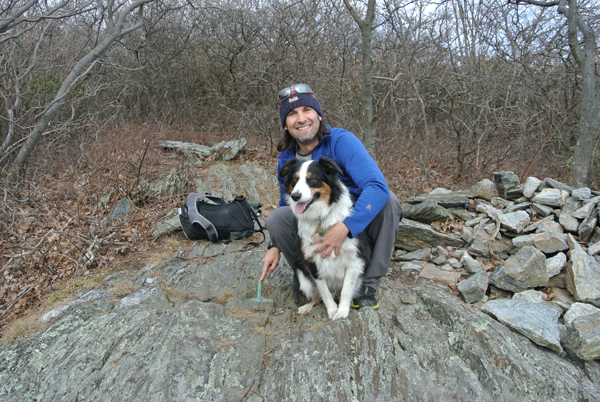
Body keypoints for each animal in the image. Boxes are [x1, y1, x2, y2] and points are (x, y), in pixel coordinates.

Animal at [278, 157, 368, 320]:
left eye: (312, 179)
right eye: (294, 179)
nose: (295, 196)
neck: (320, 218)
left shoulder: (355, 258)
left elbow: (346, 289)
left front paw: (342, 311)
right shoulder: (312, 260)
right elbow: (324, 290)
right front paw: (332, 310)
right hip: (302, 277)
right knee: (316, 297)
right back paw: (306, 307)